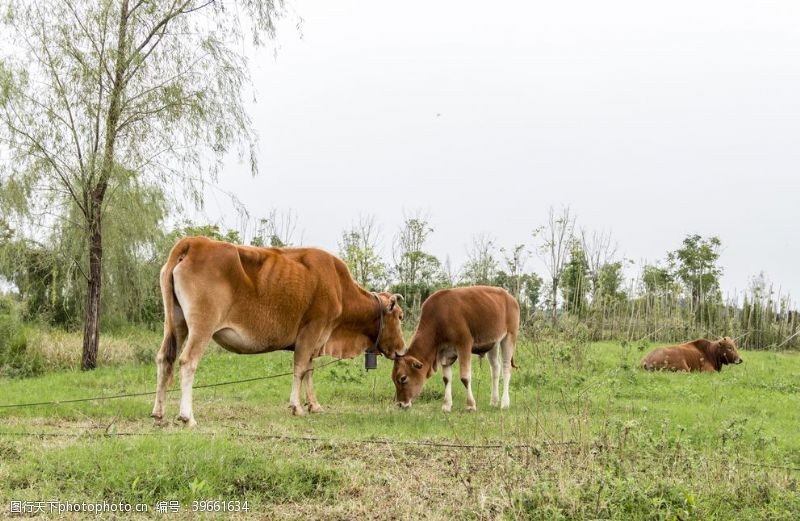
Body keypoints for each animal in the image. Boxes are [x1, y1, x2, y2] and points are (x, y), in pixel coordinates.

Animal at [151, 236, 406, 422]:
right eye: (400, 316)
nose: (402, 350)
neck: (340, 288)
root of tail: (194, 241)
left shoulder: (314, 340)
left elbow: (309, 371)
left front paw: (314, 405)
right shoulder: (311, 331)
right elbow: (300, 369)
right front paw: (297, 407)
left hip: (175, 323)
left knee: (165, 358)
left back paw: (159, 413)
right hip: (202, 325)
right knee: (188, 361)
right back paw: (187, 417)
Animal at [392, 284, 520, 410]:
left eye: (403, 378)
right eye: (393, 378)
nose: (400, 404)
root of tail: (510, 297)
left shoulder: (464, 345)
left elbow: (465, 377)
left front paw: (470, 405)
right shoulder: (445, 354)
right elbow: (446, 378)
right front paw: (446, 405)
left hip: (509, 336)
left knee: (506, 368)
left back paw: (504, 403)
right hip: (493, 343)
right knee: (495, 368)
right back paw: (494, 401)